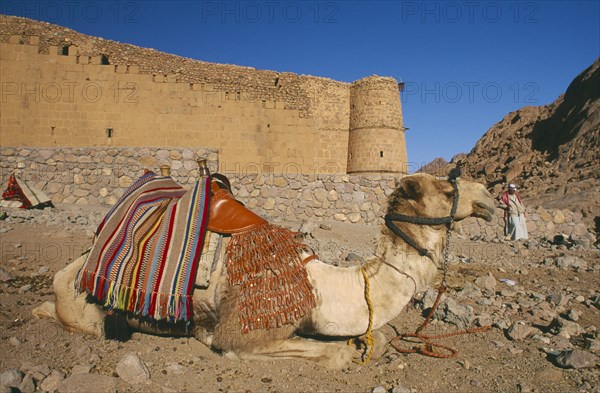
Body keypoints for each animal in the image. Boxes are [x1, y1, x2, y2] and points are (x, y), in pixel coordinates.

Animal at [31, 172, 496, 368]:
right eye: (449, 189)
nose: (491, 197)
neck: (319, 286)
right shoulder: (246, 332)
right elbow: (332, 352)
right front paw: (348, 351)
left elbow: (378, 337)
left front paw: (367, 343)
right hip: (81, 302)